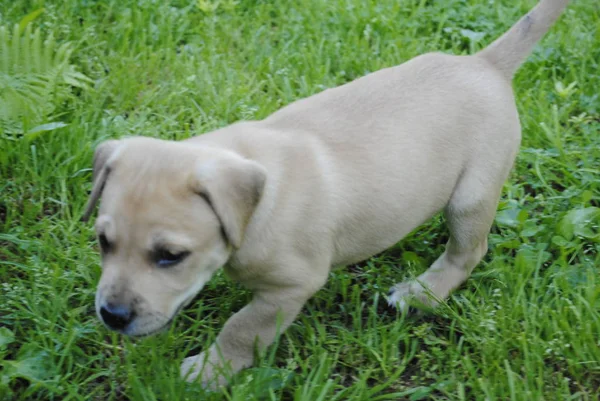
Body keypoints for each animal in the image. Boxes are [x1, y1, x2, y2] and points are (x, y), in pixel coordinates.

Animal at [82, 0, 568, 388]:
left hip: (471, 198)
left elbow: (242, 327)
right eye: (103, 242)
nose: (112, 315)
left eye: (171, 255)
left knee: (468, 251)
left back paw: (422, 293)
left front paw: (208, 371)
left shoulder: (291, 287)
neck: (255, 208)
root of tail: (486, 64)